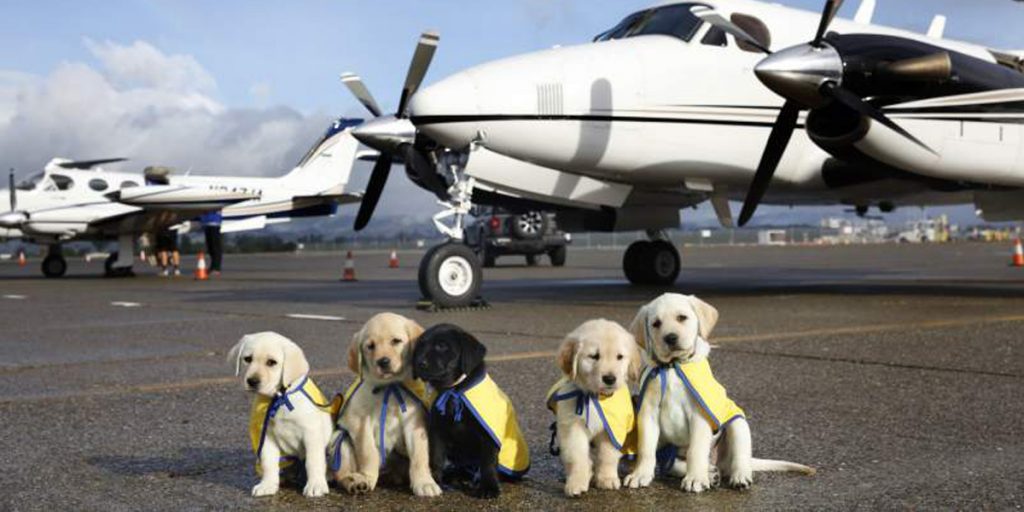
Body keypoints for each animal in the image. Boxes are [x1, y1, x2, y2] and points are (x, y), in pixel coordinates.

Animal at [227, 331, 331, 495]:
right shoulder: (266, 435)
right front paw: (267, 485)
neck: (279, 397)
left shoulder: (311, 433)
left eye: (272, 362)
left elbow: (314, 461)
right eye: (247, 359)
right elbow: (268, 463)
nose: (252, 381)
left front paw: (316, 485)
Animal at [327, 309, 440, 497]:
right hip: (341, 439)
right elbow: (369, 452)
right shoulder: (359, 422)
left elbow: (420, 455)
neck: (389, 385)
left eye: (396, 341)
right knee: (341, 473)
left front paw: (424, 482)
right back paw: (355, 482)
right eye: (370, 346)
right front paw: (368, 477)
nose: (383, 361)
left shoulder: (414, 422)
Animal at [409, 323, 501, 495]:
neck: (453, 389)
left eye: (442, 346)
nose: (419, 364)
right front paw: (434, 480)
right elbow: (436, 457)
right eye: (420, 346)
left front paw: (489, 487)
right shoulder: (437, 430)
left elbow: (488, 462)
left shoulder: (487, 433)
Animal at [548, 317, 634, 497]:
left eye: (619, 357)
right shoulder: (572, 427)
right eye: (594, 356)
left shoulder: (612, 428)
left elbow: (607, 456)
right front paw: (576, 482)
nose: (610, 379)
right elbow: (577, 457)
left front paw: (607, 479)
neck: (595, 397)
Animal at [618, 294, 811, 493]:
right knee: (676, 464)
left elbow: (696, 450)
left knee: (739, 456)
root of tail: (720, 461)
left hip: (738, 424)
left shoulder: (699, 415)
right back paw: (711, 474)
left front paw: (695, 478)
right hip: (669, 451)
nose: (670, 338)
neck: (672, 366)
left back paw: (738, 476)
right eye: (656, 324)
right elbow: (646, 449)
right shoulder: (648, 414)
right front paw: (640, 475)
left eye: (682, 318)